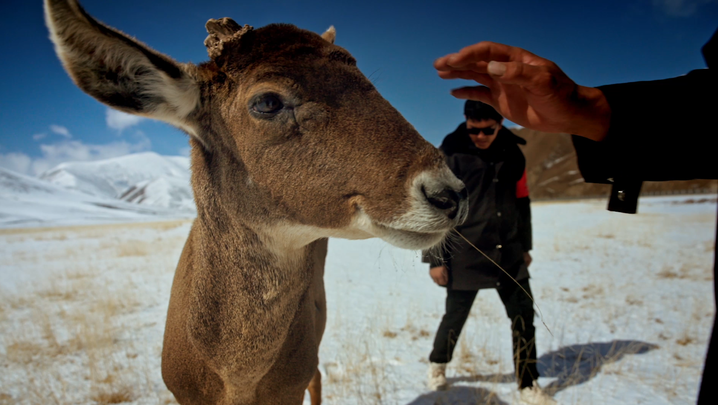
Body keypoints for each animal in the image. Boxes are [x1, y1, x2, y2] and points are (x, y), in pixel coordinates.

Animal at [44, 0, 467, 404]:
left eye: (367, 81)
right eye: (267, 101)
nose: (450, 194)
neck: (234, 382)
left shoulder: (291, 382)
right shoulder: (182, 390)